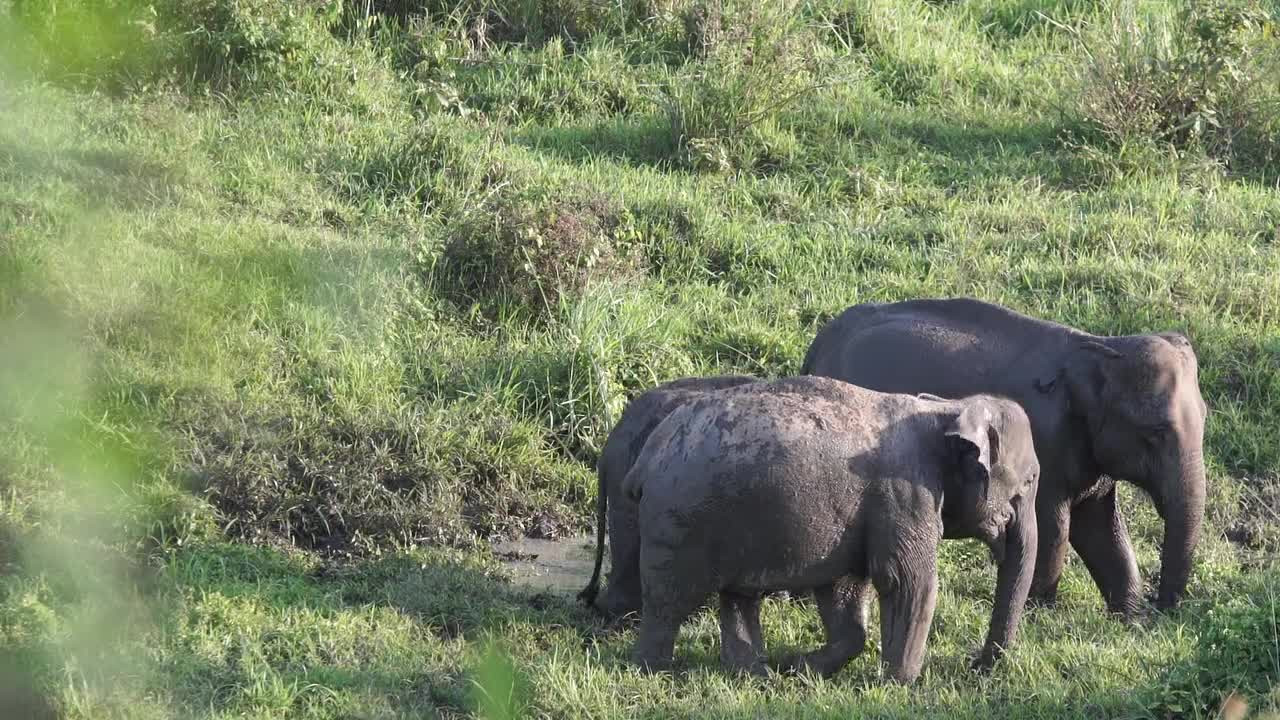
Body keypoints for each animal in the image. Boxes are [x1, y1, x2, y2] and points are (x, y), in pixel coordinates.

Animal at [627, 371, 1039, 681]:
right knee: (668, 599)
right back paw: (655, 670)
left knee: (737, 597)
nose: (975, 664)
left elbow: (844, 587)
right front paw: (900, 684)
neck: (946, 409)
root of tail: (648, 454)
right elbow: (906, 580)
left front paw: (799, 668)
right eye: (1032, 479)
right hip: (677, 524)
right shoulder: (904, 493)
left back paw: (755, 675)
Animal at [798, 295, 1208, 609]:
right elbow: (1054, 528)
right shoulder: (1047, 443)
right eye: (1155, 433)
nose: (1161, 607)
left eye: (1205, 417)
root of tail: (819, 343)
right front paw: (1040, 611)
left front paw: (1128, 615)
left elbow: (1100, 528)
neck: (1102, 346)